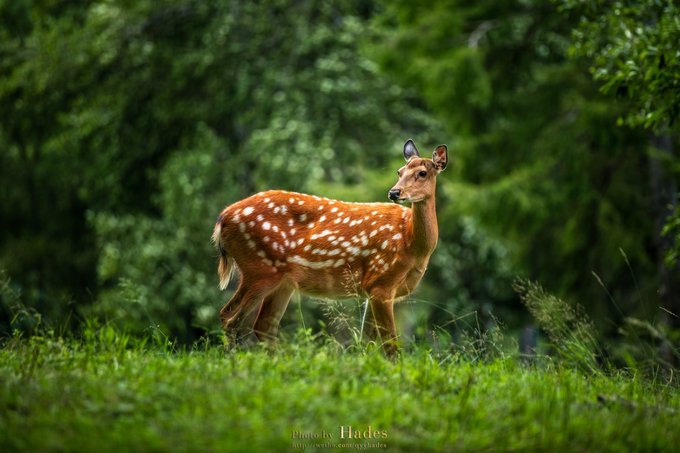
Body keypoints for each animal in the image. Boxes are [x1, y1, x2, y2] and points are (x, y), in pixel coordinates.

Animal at [212, 139, 448, 355]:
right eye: (399, 171)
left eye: (422, 173)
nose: (394, 192)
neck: (411, 243)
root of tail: (222, 219)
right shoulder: (381, 281)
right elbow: (390, 345)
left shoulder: (372, 289)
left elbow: (367, 342)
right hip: (259, 268)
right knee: (230, 317)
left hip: (282, 281)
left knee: (263, 326)